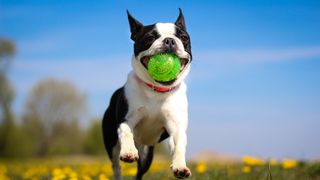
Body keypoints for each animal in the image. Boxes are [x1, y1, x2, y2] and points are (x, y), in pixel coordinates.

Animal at [104, 9, 191, 180]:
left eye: (184, 38)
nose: (170, 40)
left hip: (146, 155)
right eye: (150, 38)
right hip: (111, 143)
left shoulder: (176, 127)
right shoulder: (127, 119)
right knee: (116, 165)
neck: (157, 90)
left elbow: (179, 145)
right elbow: (126, 131)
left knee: (139, 172)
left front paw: (180, 166)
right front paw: (129, 152)